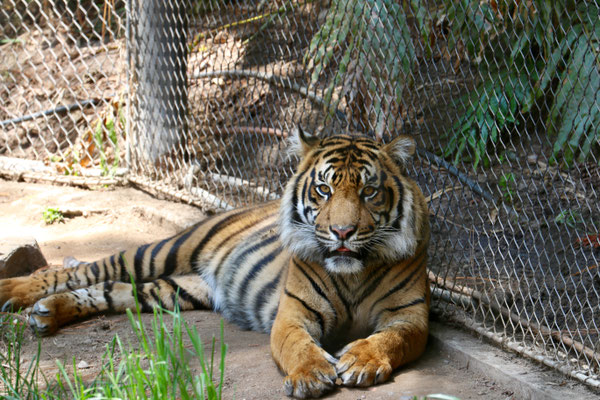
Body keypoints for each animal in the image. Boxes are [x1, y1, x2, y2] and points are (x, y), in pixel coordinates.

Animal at [0, 127, 432, 396]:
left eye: (369, 191)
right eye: (324, 189)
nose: (342, 232)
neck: (353, 273)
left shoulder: (410, 316)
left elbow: (392, 338)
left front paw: (361, 360)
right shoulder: (293, 314)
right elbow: (297, 345)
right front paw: (311, 376)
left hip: (172, 290)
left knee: (107, 291)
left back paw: (46, 313)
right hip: (160, 251)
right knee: (86, 269)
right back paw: (14, 292)